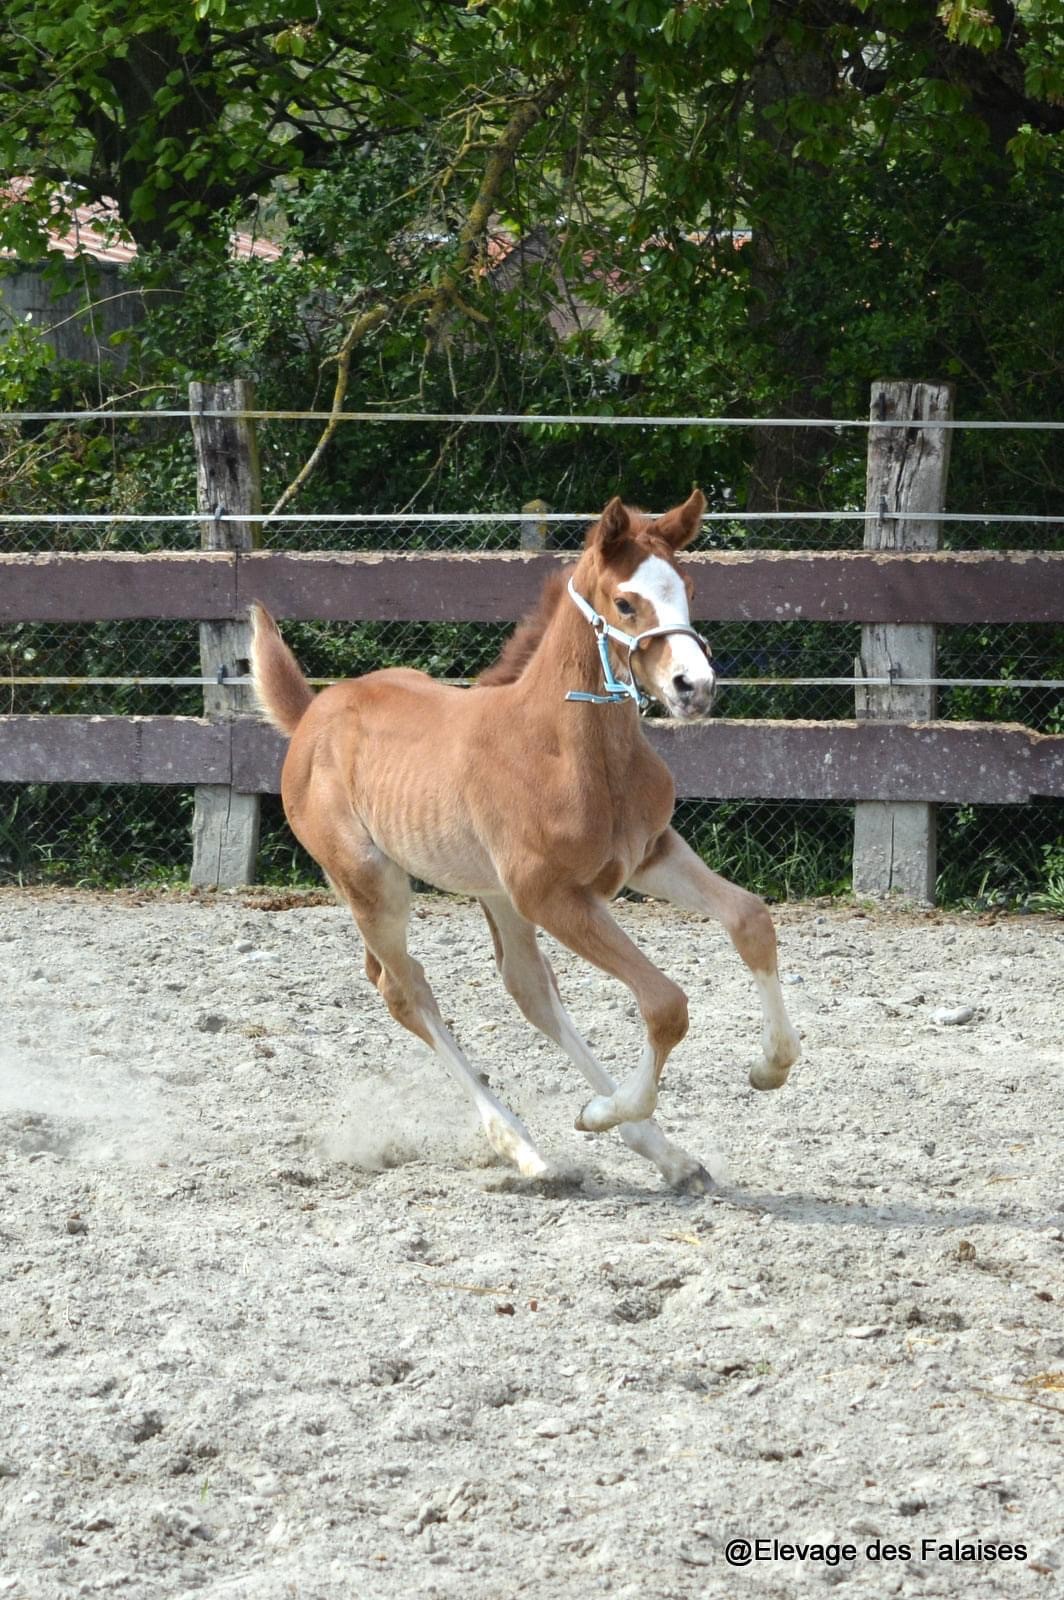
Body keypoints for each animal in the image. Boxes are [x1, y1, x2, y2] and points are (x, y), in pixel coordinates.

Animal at [249, 492, 796, 1196]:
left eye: (689, 590)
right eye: (626, 603)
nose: (693, 687)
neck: (567, 749)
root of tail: (311, 716)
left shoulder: (648, 856)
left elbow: (751, 919)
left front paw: (770, 1069)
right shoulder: (553, 896)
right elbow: (665, 1003)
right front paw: (597, 1114)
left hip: (496, 895)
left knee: (528, 988)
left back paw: (666, 1155)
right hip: (373, 884)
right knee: (404, 988)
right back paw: (529, 1152)